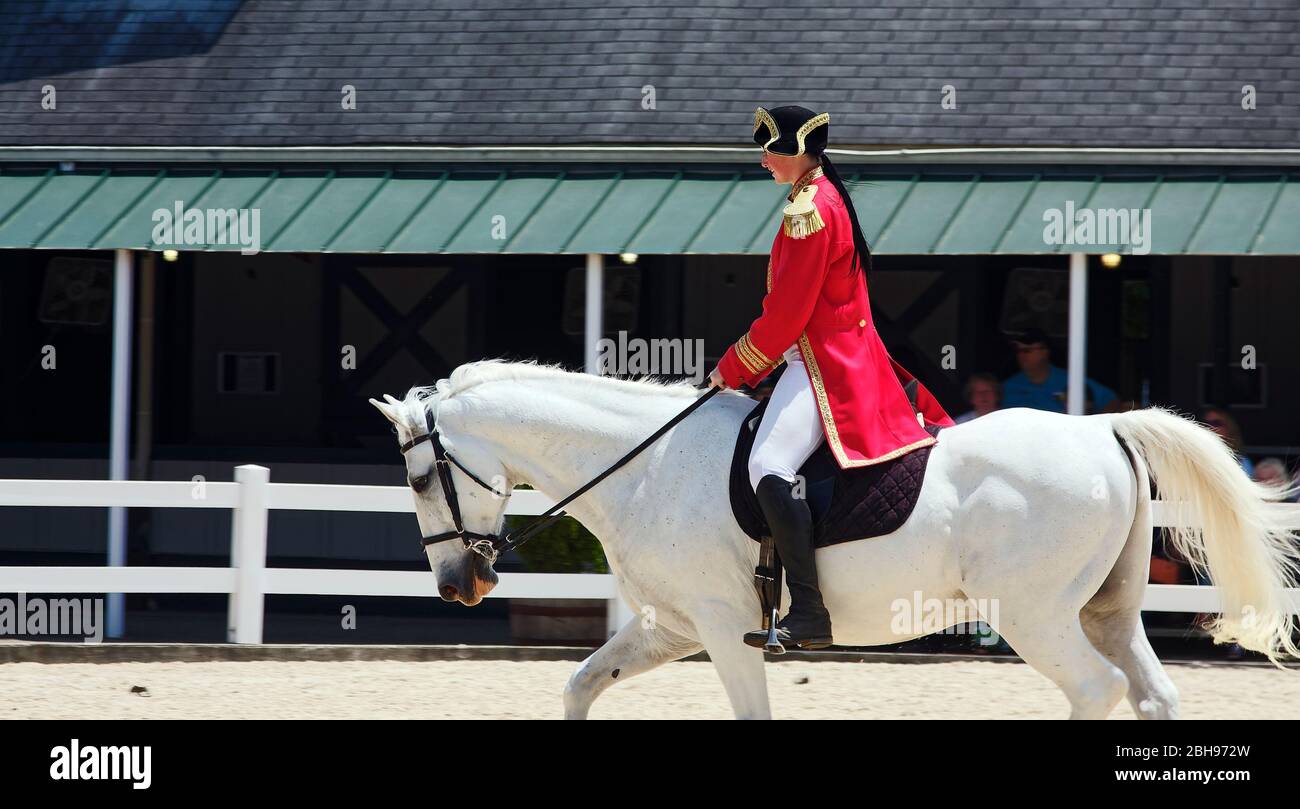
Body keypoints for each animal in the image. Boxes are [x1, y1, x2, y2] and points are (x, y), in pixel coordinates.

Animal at [369, 359, 1300, 720]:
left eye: (416, 479)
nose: (459, 585)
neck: (644, 462)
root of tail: (1102, 429)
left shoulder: (724, 628)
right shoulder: (670, 626)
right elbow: (579, 684)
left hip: (1034, 614)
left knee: (1096, 688)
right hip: (1107, 609)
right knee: (1149, 692)